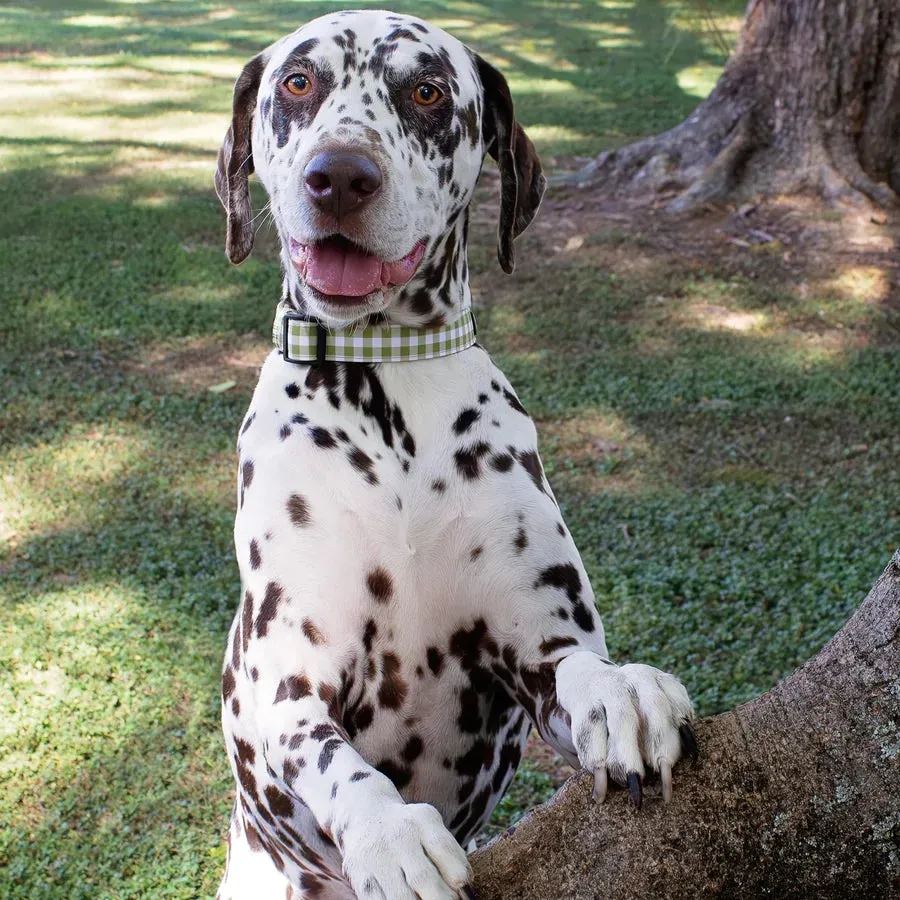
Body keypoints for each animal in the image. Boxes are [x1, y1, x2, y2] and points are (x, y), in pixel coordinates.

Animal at [216, 8, 696, 900]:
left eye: (428, 91)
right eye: (298, 81)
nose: (340, 175)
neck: (386, 393)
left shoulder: (534, 646)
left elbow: (581, 669)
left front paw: (623, 692)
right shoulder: (288, 685)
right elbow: (330, 757)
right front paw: (389, 834)